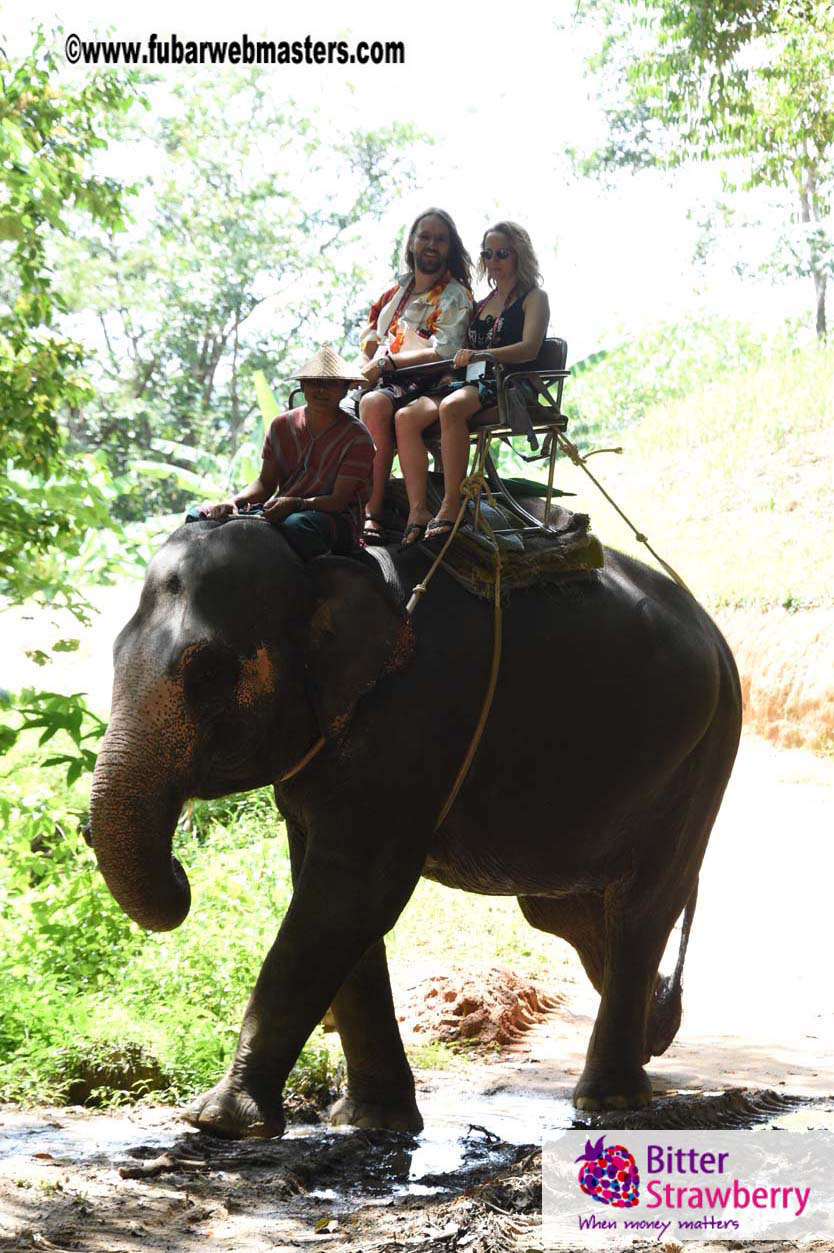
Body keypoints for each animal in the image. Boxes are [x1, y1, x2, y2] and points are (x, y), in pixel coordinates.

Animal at [89, 512, 742, 1138]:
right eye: (113, 654)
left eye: (207, 672)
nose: (180, 870)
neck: (327, 561)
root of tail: (714, 632)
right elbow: (333, 899)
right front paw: (370, 1122)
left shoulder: (414, 716)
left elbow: (348, 894)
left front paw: (221, 1121)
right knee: (564, 910)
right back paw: (658, 1026)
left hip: (706, 750)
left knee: (643, 904)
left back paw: (610, 1098)